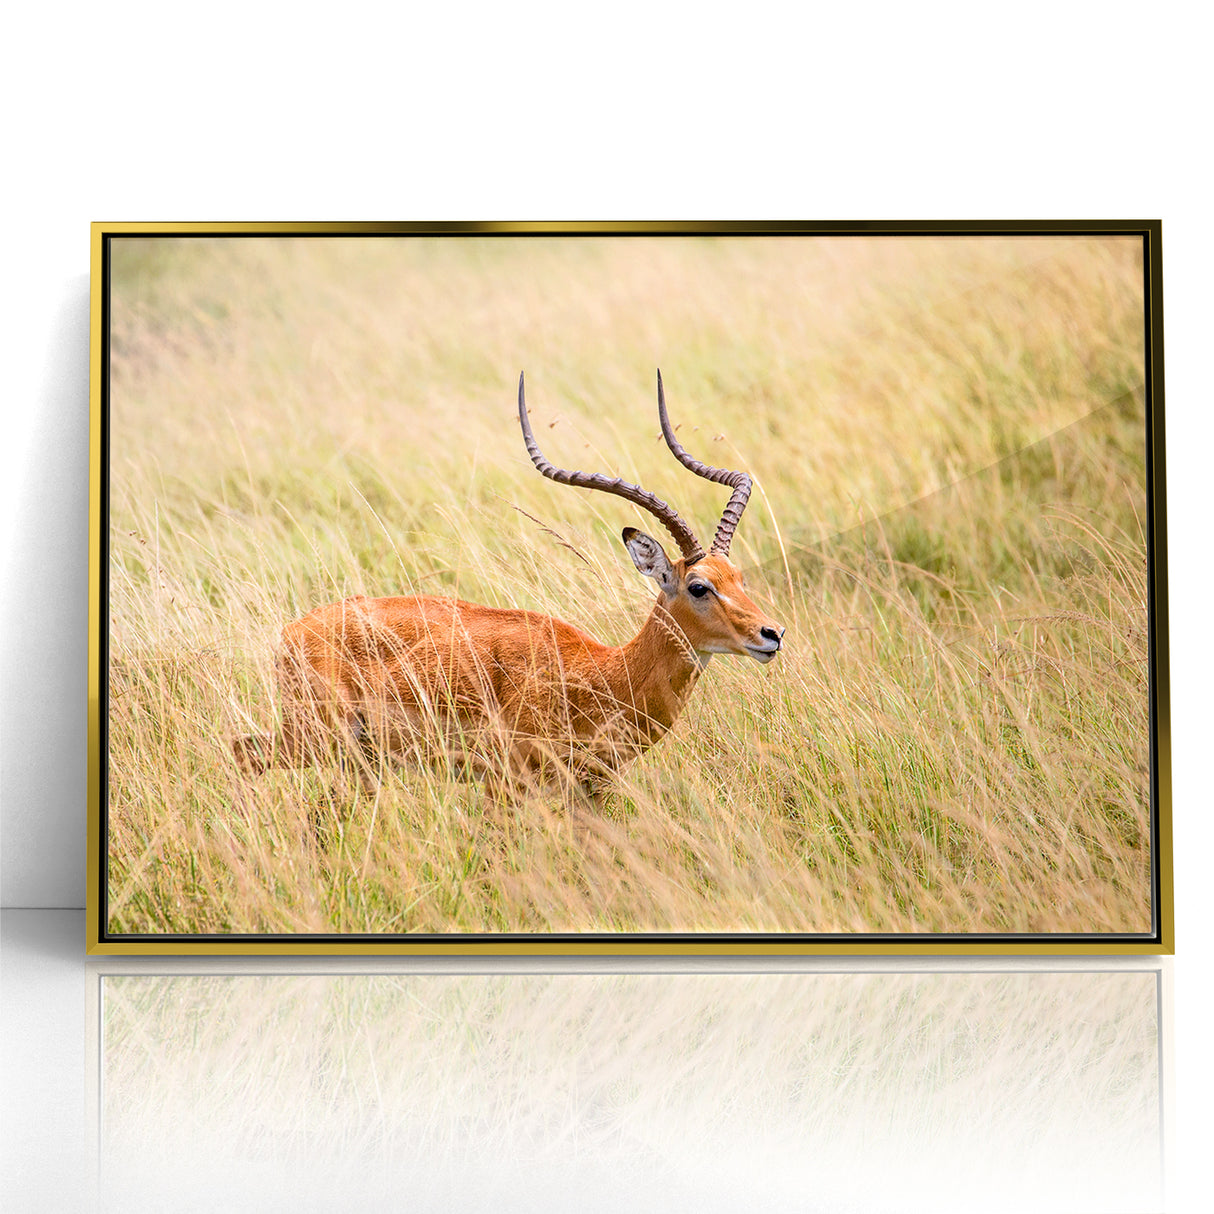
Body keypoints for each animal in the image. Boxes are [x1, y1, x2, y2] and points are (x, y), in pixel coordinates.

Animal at [232, 371, 784, 809]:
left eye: (738, 577)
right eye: (698, 586)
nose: (771, 634)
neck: (603, 674)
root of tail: (293, 630)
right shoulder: (506, 784)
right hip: (317, 738)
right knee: (242, 753)